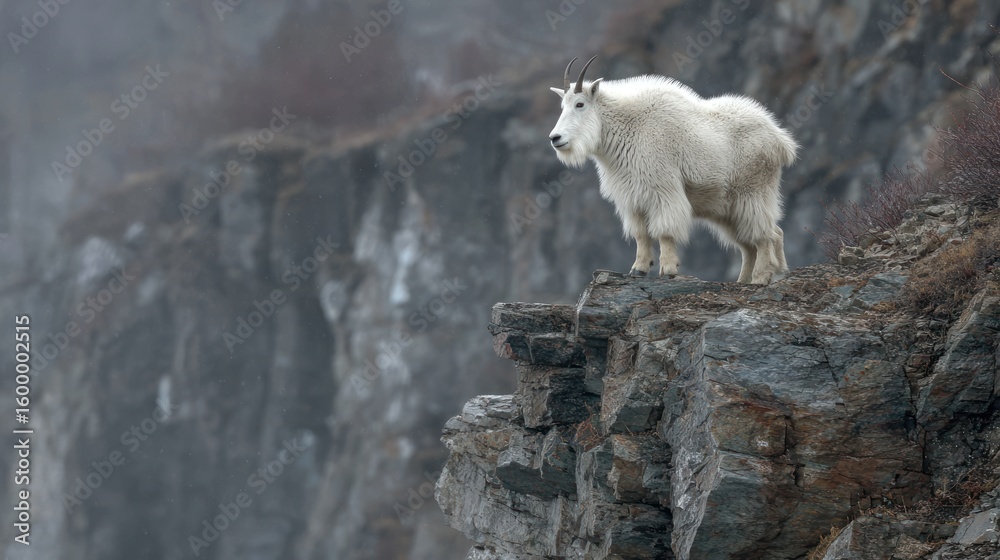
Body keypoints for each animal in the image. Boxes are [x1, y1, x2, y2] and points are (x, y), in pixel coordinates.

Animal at [548, 57, 798, 284]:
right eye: (562, 106)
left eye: (580, 104)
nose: (555, 138)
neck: (628, 128)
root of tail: (781, 140)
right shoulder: (632, 196)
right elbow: (640, 234)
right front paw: (638, 269)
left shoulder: (662, 189)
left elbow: (664, 231)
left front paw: (668, 269)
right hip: (728, 206)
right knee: (755, 241)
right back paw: (746, 279)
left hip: (754, 192)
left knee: (765, 234)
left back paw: (761, 277)